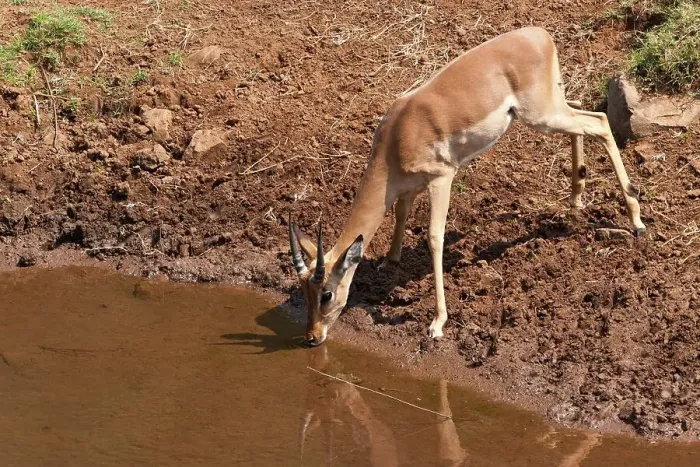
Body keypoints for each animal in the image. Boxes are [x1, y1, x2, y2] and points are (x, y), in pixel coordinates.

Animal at [288, 26, 645, 346]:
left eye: (326, 293)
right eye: (304, 290)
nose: (312, 337)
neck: (398, 136)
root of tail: (541, 34)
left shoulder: (442, 177)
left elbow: (434, 237)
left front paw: (437, 323)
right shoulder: (411, 185)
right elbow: (401, 212)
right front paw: (391, 259)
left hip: (542, 117)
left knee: (600, 122)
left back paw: (636, 220)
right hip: (551, 110)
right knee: (585, 116)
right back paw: (576, 197)